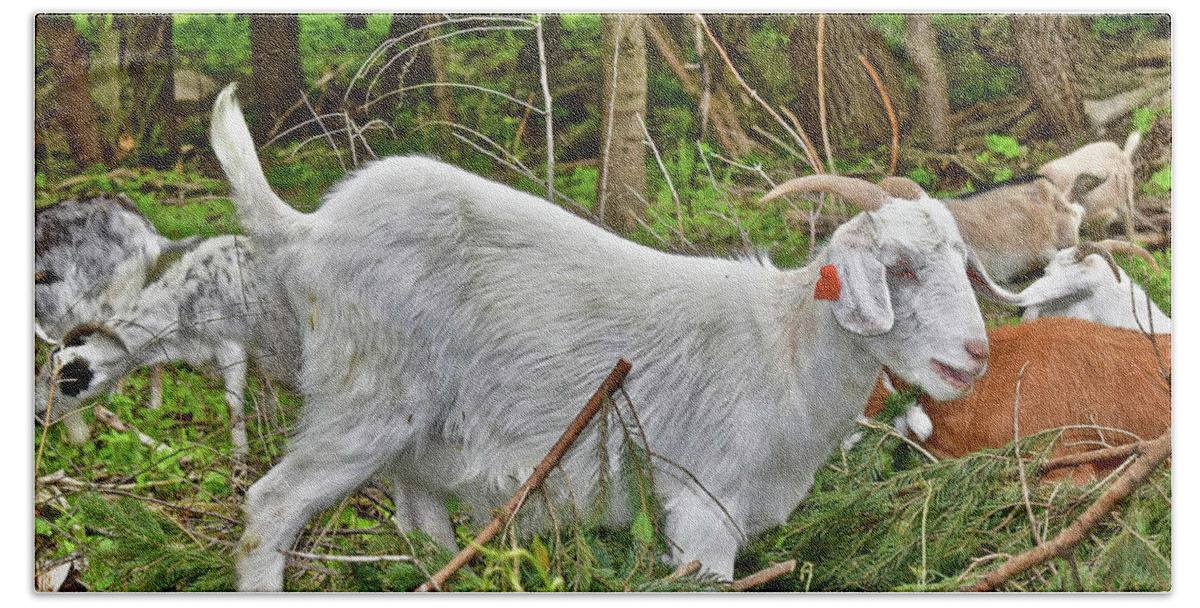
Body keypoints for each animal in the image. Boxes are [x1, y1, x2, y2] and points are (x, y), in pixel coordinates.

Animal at [34, 235, 297, 458]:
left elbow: (233, 405)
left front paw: (239, 460)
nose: (38, 415)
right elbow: (268, 397)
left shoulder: (231, 348)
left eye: (71, 376)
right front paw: (273, 439)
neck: (182, 302)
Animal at [208, 84, 1022, 590]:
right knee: (271, 506)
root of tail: (309, 229)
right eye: (897, 269)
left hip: (417, 438)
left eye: (962, 263)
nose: (976, 356)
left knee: (419, 524)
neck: (782, 348)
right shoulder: (705, 502)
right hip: (368, 395)